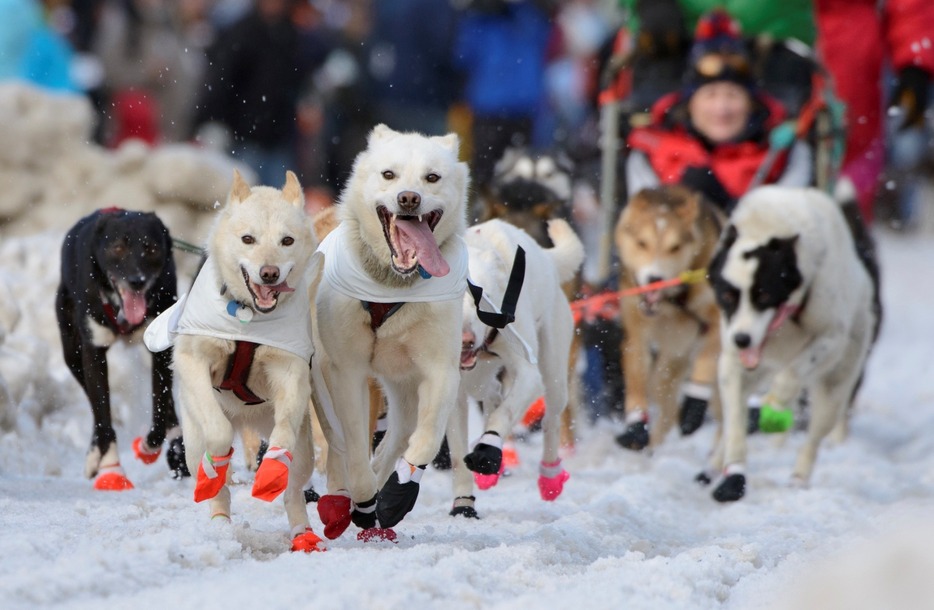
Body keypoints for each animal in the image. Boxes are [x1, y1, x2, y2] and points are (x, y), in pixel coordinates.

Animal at [56, 207, 188, 486]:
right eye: (118, 247)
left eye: (151, 248)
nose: (137, 280)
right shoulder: (93, 352)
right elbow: (102, 412)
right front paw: (111, 467)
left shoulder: (161, 350)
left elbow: (160, 405)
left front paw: (150, 446)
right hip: (72, 353)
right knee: (95, 408)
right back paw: (95, 455)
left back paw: (176, 449)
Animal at [143, 169, 326, 548]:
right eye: (248, 238)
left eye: (287, 240)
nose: (269, 272)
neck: (249, 318)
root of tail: (247, 419)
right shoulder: (195, 363)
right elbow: (218, 432)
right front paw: (217, 462)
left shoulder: (290, 372)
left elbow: (284, 434)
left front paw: (273, 467)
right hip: (192, 440)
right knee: (216, 480)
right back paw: (219, 519)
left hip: (301, 448)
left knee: (294, 488)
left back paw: (302, 533)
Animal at [314, 124, 472, 536]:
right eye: (389, 174)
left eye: (432, 177)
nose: (409, 198)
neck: (392, 284)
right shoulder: (347, 371)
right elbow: (354, 443)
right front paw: (363, 498)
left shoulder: (441, 370)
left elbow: (427, 439)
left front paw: (398, 493)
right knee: (339, 445)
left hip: (404, 389)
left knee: (397, 437)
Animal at [448, 216, 584, 516]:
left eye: (482, 298)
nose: (465, 340)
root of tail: (547, 258)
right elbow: (457, 454)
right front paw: (463, 504)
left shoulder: (528, 374)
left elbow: (504, 415)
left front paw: (488, 449)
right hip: (482, 380)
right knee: (492, 395)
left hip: (554, 377)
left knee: (551, 419)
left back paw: (550, 476)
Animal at [704, 185, 880, 498]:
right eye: (727, 295)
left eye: (763, 295)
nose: (742, 339)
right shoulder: (733, 363)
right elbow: (735, 422)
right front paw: (733, 474)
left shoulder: (831, 336)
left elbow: (792, 375)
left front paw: (777, 399)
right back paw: (714, 464)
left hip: (835, 388)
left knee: (814, 436)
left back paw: (800, 475)